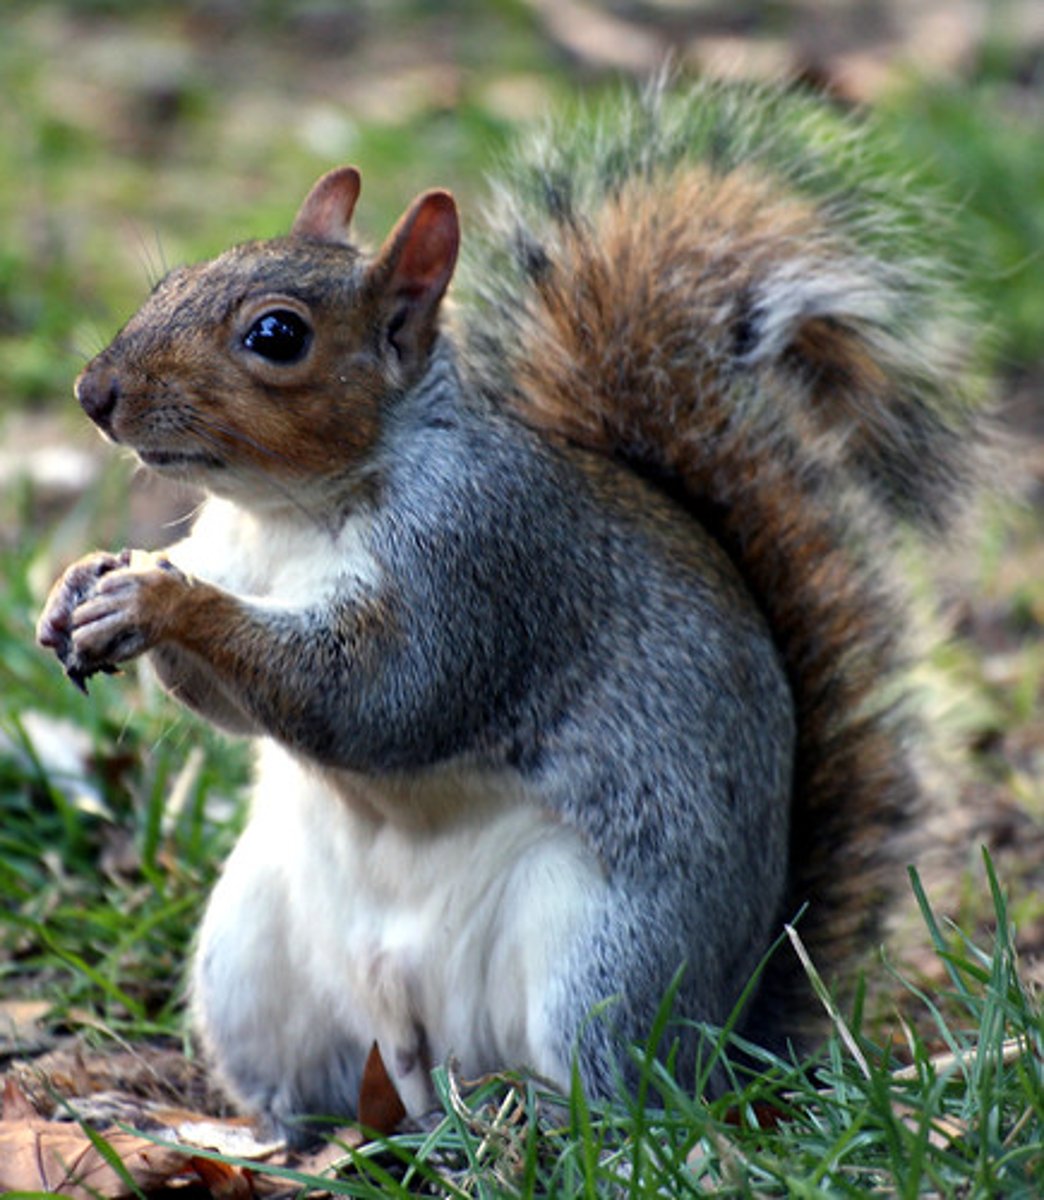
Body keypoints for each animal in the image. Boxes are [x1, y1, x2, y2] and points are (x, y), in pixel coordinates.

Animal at [37, 80, 985, 1138]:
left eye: (277, 336)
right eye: (174, 280)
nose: (94, 393)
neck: (292, 515)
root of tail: (728, 1036)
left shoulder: (478, 564)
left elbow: (378, 698)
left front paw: (159, 598)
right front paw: (79, 584)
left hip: (604, 966)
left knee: (620, 1100)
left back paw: (548, 1131)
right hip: (251, 962)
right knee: (305, 1092)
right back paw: (255, 1134)